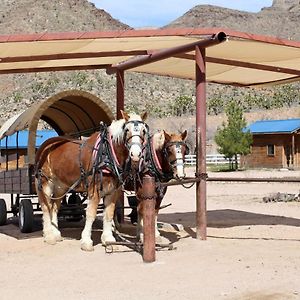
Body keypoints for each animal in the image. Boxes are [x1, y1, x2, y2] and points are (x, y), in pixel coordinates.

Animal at [34, 110, 149, 251]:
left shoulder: (113, 190)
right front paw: (86, 241)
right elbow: (91, 213)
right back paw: (49, 235)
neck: (107, 152)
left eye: (143, 131)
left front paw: (109, 240)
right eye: (127, 130)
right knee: (46, 207)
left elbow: (109, 213)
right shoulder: (94, 189)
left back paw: (56, 233)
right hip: (45, 183)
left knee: (54, 207)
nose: (136, 154)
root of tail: (46, 145)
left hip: (61, 186)